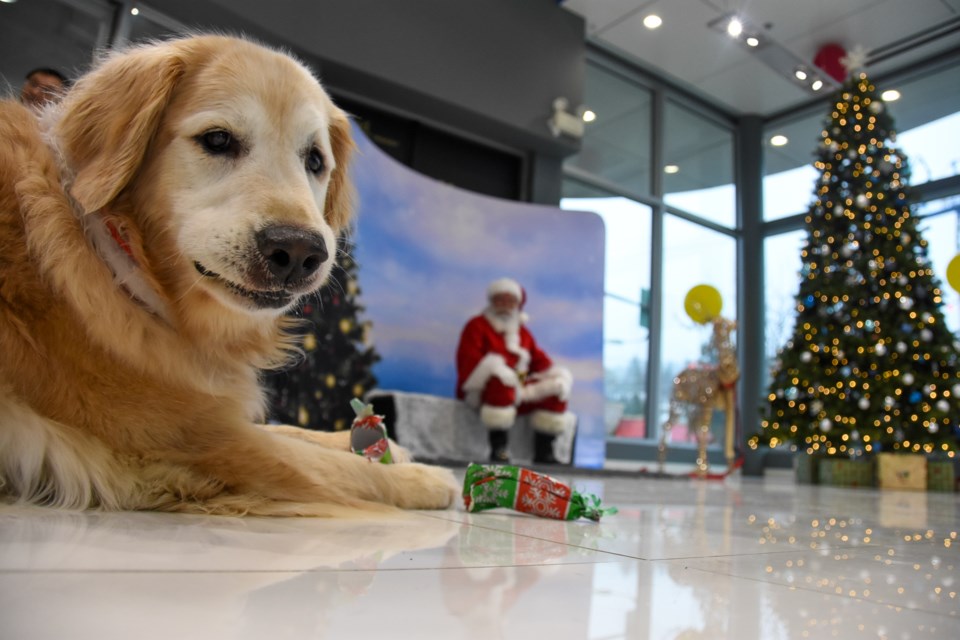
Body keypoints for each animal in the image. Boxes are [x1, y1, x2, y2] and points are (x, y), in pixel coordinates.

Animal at [0, 33, 462, 516]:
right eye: (218, 139)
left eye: (315, 161)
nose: (299, 252)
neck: (119, 264)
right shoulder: (198, 441)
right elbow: (332, 466)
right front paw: (423, 477)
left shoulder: (214, 414)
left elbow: (290, 429)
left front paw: (382, 446)